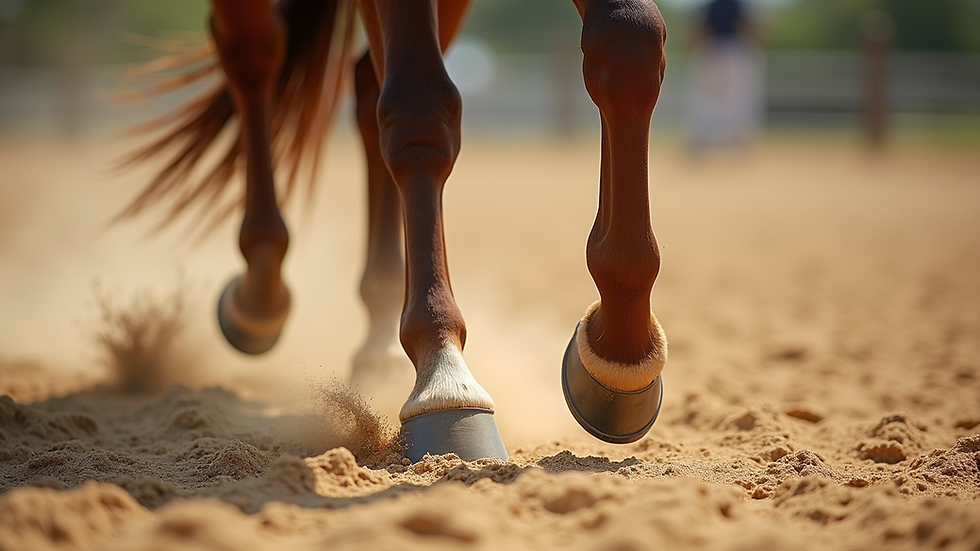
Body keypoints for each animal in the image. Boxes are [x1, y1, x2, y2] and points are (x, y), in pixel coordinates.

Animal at [121, 0, 668, 462]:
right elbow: (419, 110)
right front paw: (444, 377)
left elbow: (630, 39)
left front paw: (618, 358)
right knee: (253, 51)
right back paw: (259, 297)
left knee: (365, 83)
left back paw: (378, 338)